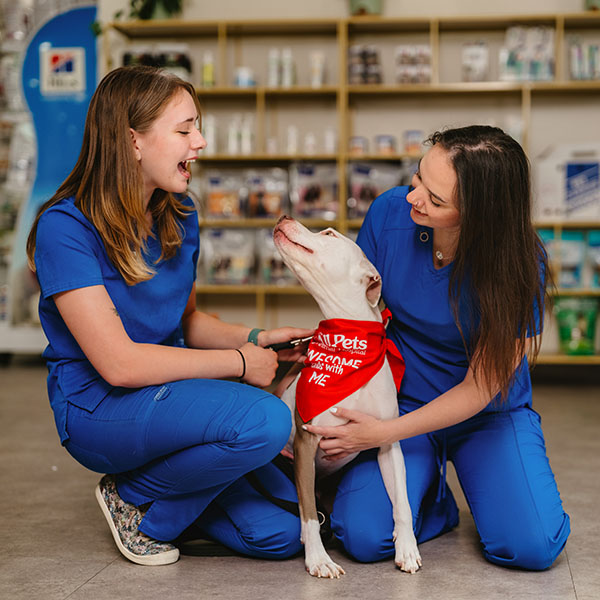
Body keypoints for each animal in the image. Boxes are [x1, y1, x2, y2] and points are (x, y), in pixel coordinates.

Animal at [274, 214, 422, 576]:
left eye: (328, 233)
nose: (284, 216)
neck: (348, 341)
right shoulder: (306, 443)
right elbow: (308, 513)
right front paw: (318, 559)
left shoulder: (387, 443)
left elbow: (402, 502)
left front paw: (407, 547)